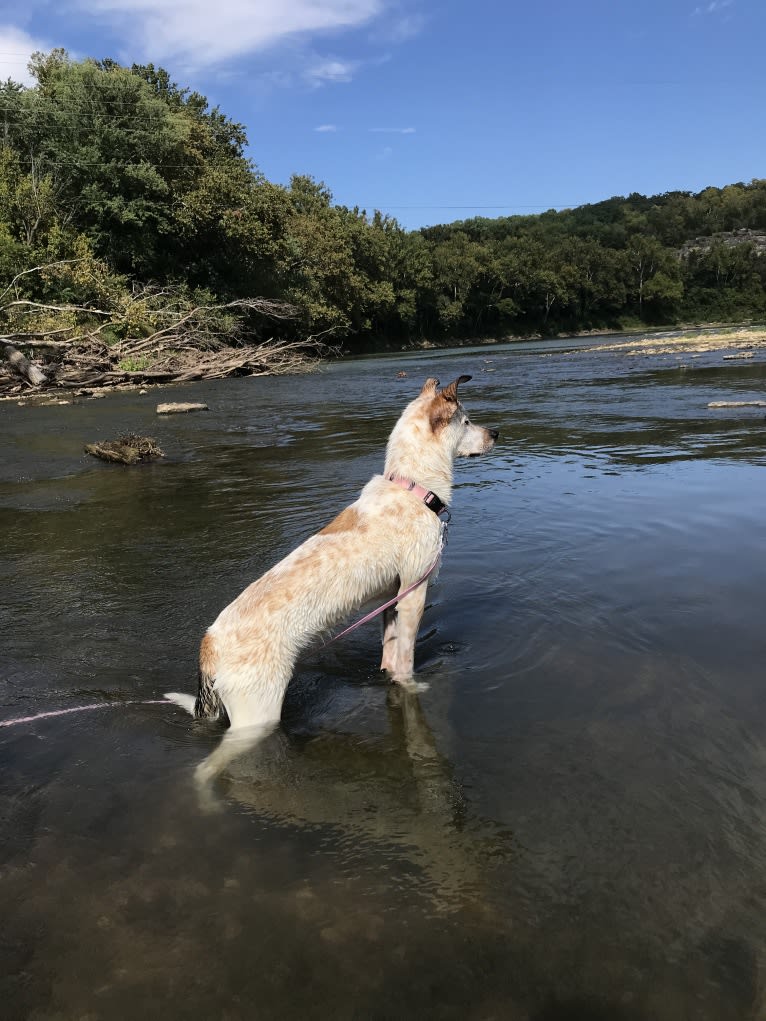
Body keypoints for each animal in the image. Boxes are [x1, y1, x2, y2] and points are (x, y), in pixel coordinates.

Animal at [165, 375, 498, 780]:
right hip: (256, 714)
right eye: (467, 421)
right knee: (205, 767)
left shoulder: (391, 599)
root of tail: (208, 645)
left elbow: (389, 654)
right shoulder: (413, 593)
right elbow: (405, 660)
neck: (412, 489)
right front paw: (413, 686)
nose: (496, 433)